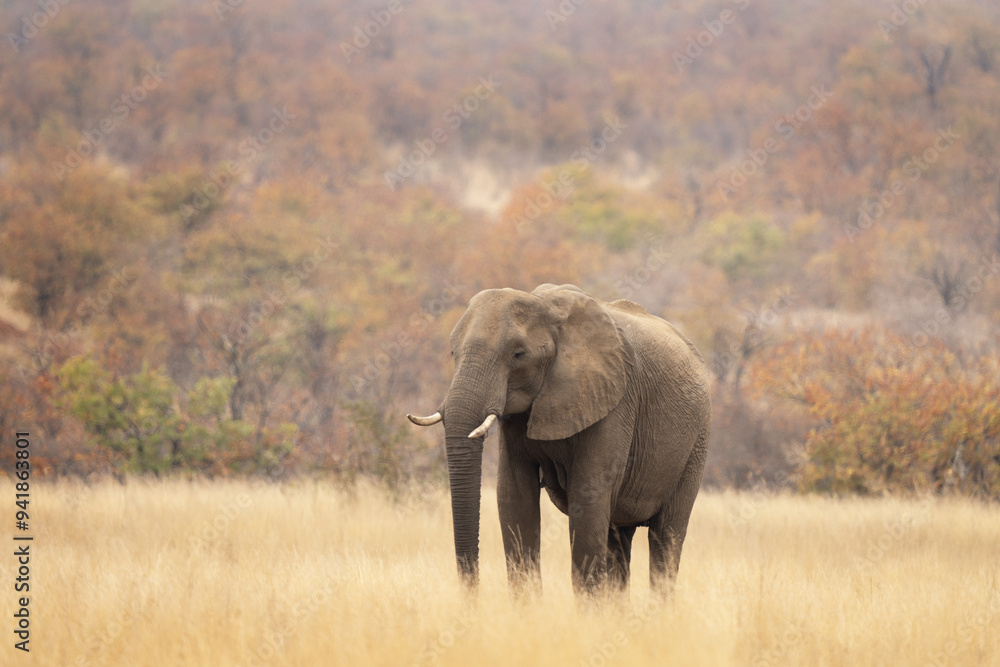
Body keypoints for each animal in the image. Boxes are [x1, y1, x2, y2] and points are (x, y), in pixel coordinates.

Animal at [407, 283, 712, 595]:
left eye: (518, 354)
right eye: (452, 351)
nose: (472, 597)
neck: (546, 307)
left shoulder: (615, 400)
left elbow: (588, 496)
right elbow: (514, 496)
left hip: (697, 441)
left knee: (666, 537)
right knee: (618, 538)